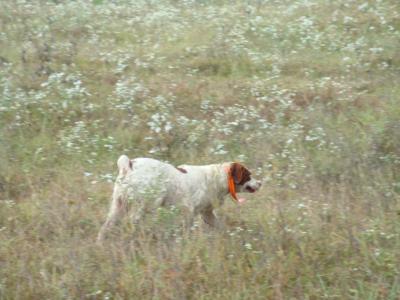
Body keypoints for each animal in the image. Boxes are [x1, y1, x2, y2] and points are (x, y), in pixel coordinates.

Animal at [95, 155, 260, 241]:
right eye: (248, 175)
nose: (260, 183)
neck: (217, 178)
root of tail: (129, 165)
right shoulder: (189, 210)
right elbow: (187, 228)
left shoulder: (206, 213)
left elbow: (220, 226)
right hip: (148, 202)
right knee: (132, 221)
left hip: (119, 205)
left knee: (107, 225)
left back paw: (101, 242)